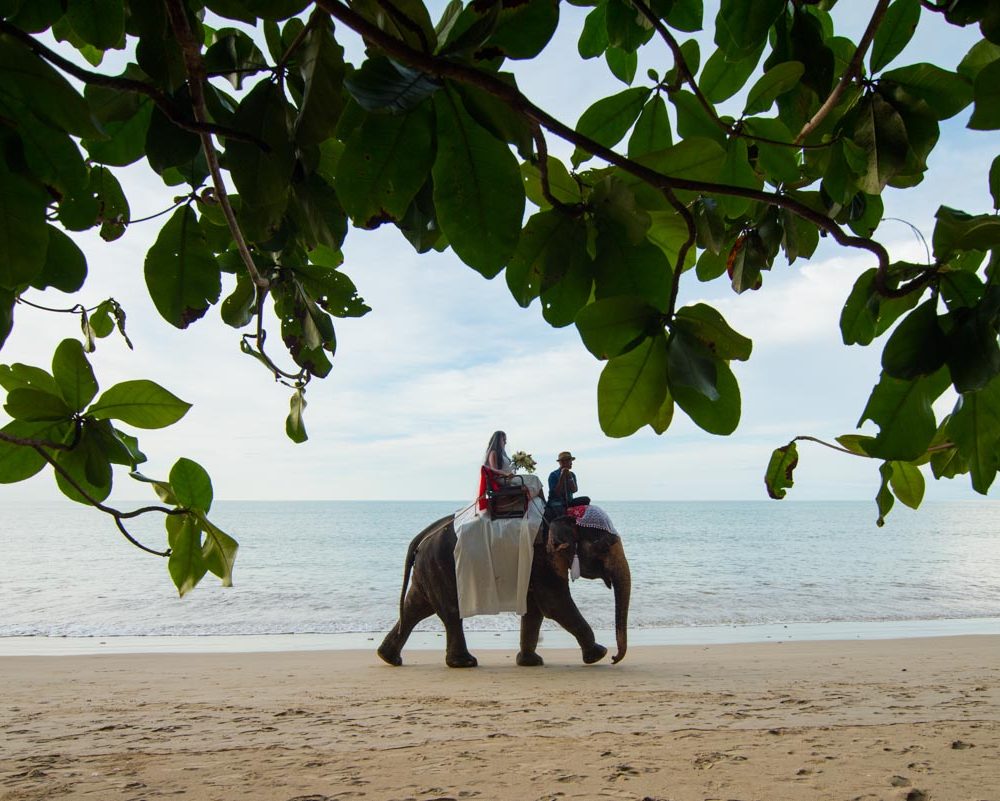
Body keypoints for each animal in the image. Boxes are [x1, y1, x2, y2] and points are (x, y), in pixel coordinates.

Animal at [378, 516, 628, 664]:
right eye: (605, 546)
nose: (615, 657)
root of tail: (422, 536)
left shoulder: (535, 567)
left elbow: (535, 609)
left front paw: (530, 662)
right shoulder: (542, 561)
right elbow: (555, 605)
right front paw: (598, 655)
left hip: (428, 570)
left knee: (415, 608)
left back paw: (389, 658)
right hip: (441, 566)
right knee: (449, 612)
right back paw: (465, 663)